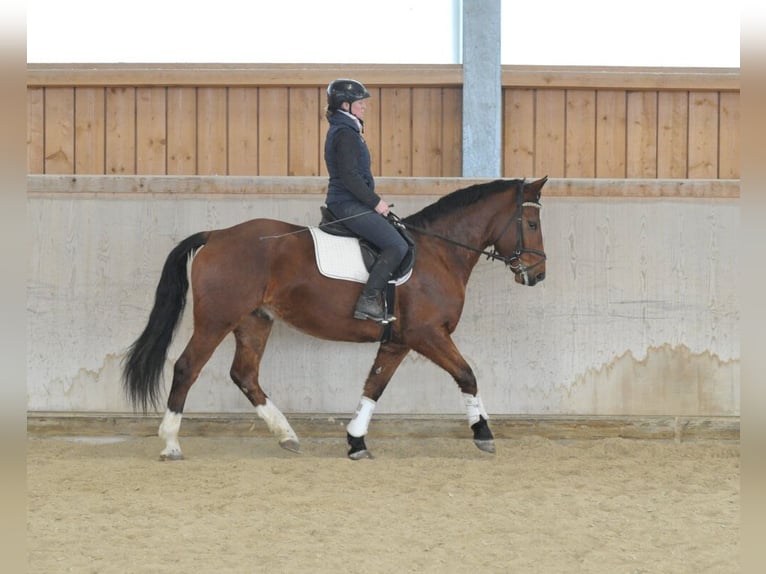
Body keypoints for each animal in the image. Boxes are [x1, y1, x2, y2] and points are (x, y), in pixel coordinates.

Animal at [122, 177, 548, 460]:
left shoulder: (398, 341)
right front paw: (483, 432)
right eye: (531, 224)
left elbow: (374, 387)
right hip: (217, 319)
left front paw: (356, 441)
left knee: (244, 375)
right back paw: (171, 443)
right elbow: (467, 374)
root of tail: (216, 234)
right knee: (187, 367)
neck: (438, 252)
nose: (537, 274)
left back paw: (287, 436)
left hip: (255, 320)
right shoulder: (428, 334)